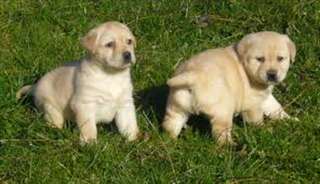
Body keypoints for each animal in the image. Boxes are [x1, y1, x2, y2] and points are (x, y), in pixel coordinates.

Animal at [164, 31, 296, 145]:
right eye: (260, 59)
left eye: (280, 58)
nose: (272, 74)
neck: (246, 69)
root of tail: (192, 75)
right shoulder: (252, 104)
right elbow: (256, 119)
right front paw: (264, 131)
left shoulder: (264, 96)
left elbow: (275, 107)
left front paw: (289, 120)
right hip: (222, 110)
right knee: (220, 132)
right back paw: (231, 146)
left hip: (177, 105)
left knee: (171, 123)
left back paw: (170, 142)